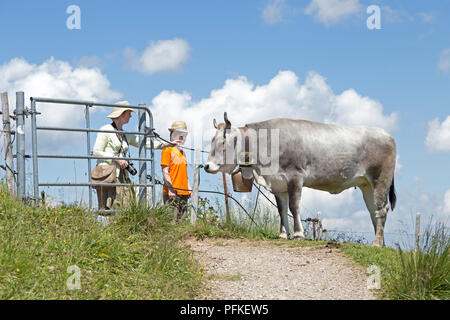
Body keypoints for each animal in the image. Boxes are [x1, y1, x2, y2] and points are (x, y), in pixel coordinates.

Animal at [205, 113, 398, 248]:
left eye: (223, 142)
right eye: (212, 140)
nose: (207, 166)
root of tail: (386, 134)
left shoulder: (295, 177)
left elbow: (294, 206)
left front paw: (298, 234)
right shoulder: (278, 184)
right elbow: (282, 209)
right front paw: (283, 234)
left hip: (380, 179)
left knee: (381, 210)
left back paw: (376, 243)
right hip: (366, 184)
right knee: (373, 211)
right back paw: (381, 243)